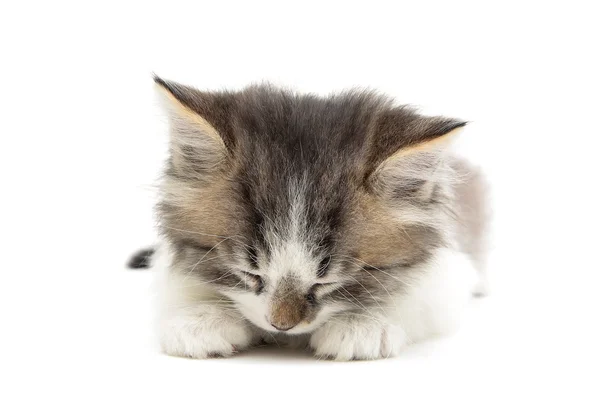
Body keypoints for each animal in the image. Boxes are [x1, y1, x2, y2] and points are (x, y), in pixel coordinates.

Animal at [129, 76, 490, 360]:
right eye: (249, 274)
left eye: (326, 282)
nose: (282, 325)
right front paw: (202, 317)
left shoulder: (451, 271)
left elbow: (417, 298)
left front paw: (363, 325)